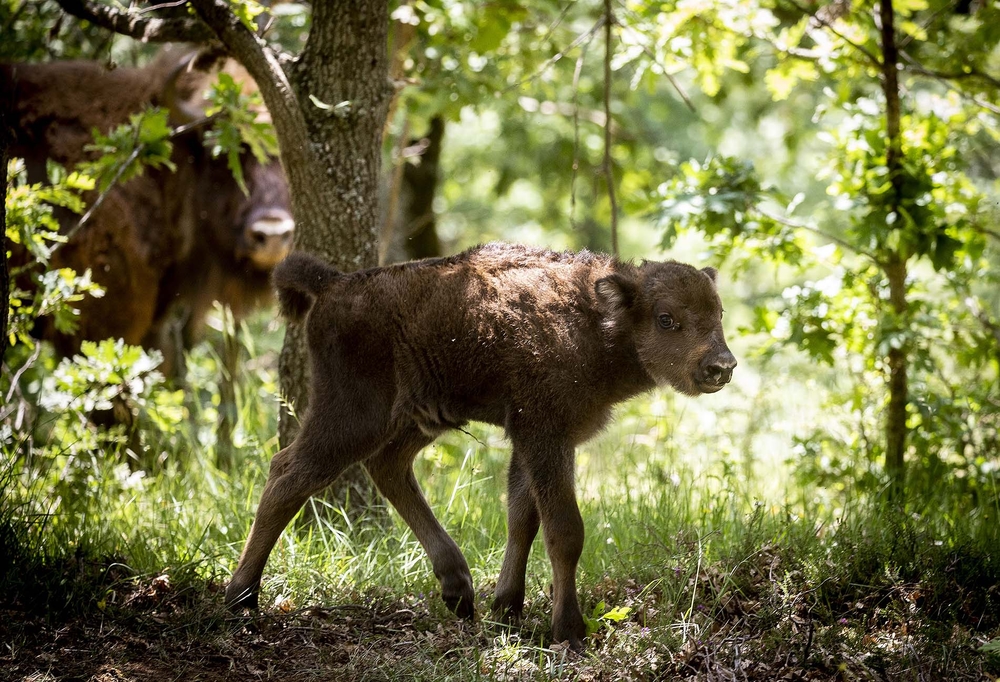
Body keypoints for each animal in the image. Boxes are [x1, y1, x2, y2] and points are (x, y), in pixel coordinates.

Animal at [229, 242, 744, 644]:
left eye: (719, 312)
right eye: (666, 318)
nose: (721, 366)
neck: (599, 320)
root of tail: (334, 285)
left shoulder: (536, 439)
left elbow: (523, 517)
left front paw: (507, 610)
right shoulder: (544, 433)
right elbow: (564, 530)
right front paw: (568, 631)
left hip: (421, 417)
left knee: (387, 467)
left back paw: (459, 589)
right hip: (354, 415)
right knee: (289, 474)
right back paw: (241, 600)